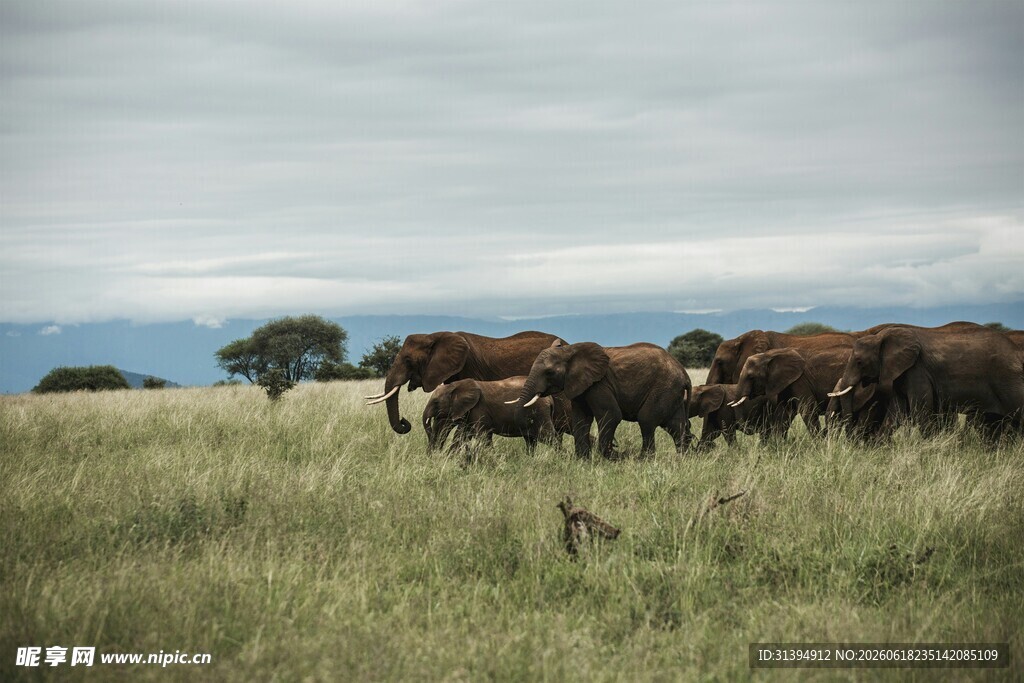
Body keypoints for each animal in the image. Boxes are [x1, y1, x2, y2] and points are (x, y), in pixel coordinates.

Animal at [421, 377, 556, 455]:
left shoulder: (479, 408)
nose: (432, 455)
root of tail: (549, 399)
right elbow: (462, 435)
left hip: (540, 412)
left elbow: (483, 435)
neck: (455, 385)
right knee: (530, 441)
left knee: (549, 437)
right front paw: (450, 458)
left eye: (436, 402)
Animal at [512, 341, 692, 459]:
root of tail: (684, 373)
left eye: (549, 372)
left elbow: (611, 415)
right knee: (676, 425)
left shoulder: (599, 384)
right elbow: (581, 419)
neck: (570, 350)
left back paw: (643, 459)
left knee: (646, 420)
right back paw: (682, 459)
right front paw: (582, 460)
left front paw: (605, 459)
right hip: (671, 391)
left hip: (663, 387)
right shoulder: (581, 385)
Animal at [831, 324, 1024, 439]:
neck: (880, 337)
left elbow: (920, 410)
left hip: (1009, 379)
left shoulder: (918, 370)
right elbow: (898, 411)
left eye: (859, 362)